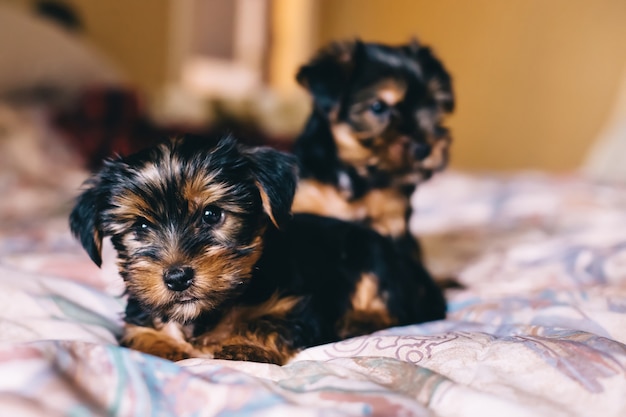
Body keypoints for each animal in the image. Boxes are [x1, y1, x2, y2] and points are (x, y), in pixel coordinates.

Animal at [70, 136, 446, 364]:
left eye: (212, 215)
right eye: (141, 228)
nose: (176, 277)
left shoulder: (299, 304)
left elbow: (269, 322)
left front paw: (242, 345)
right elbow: (139, 333)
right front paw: (163, 347)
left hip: (372, 255)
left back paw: (357, 319)